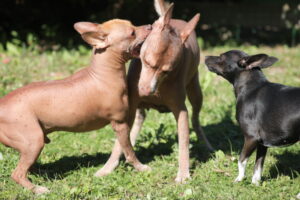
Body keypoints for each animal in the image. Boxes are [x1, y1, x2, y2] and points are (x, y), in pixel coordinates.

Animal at [0, 18, 151, 194]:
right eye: (132, 33)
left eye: (133, 23)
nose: (150, 26)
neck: (104, 74)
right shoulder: (120, 124)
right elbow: (129, 152)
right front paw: (140, 167)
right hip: (33, 142)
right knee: (17, 174)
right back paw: (38, 189)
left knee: (27, 168)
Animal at [96, 0, 213, 183]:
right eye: (146, 61)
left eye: (167, 71)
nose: (147, 91)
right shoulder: (131, 103)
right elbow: (119, 142)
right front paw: (109, 166)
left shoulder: (181, 110)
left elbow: (184, 141)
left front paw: (183, 173)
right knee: (137, 120)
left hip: (196, 92)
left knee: (195, 119)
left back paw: (206, 144)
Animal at [206, 50, 300, 186]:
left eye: (221, 57)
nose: (205, 56)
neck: (250, 88)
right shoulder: (262, 144)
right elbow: (258, 166)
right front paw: (255, 184)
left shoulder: (251, 138)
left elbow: (241, 160)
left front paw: (239, 179)